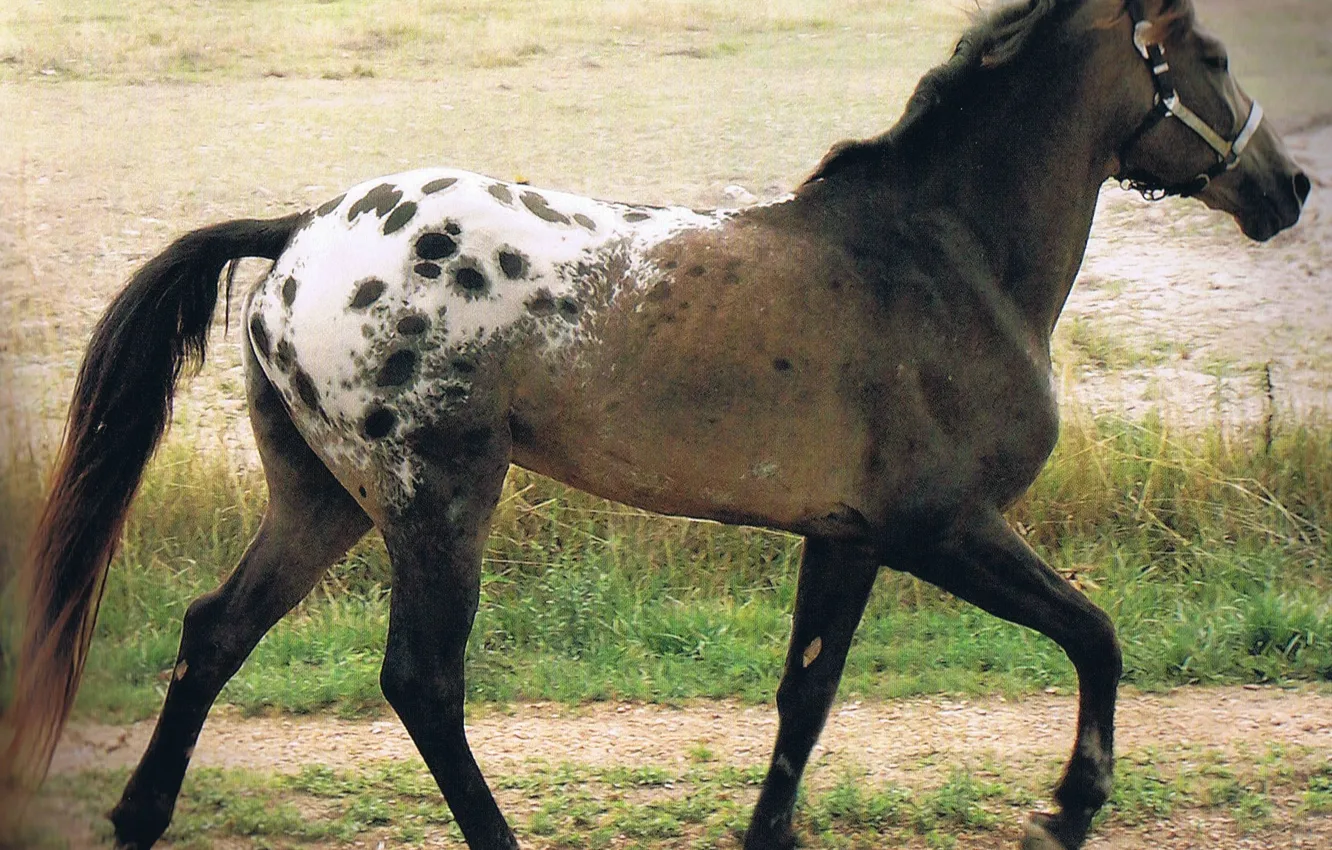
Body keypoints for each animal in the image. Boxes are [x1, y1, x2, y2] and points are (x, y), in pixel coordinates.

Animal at [1, 0, 1309, 848]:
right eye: (1211, 52)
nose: (1288, 190)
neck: (945, 257)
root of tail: (305, 233)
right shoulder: (944, 526)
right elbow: (1097, 635)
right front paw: (1072, 804)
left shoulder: (846, 537)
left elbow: (806, 698)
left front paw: (770, 836)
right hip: (436, 499)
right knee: (423, 679)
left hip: (321, 496)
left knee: (216, 630)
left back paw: (138, 817)